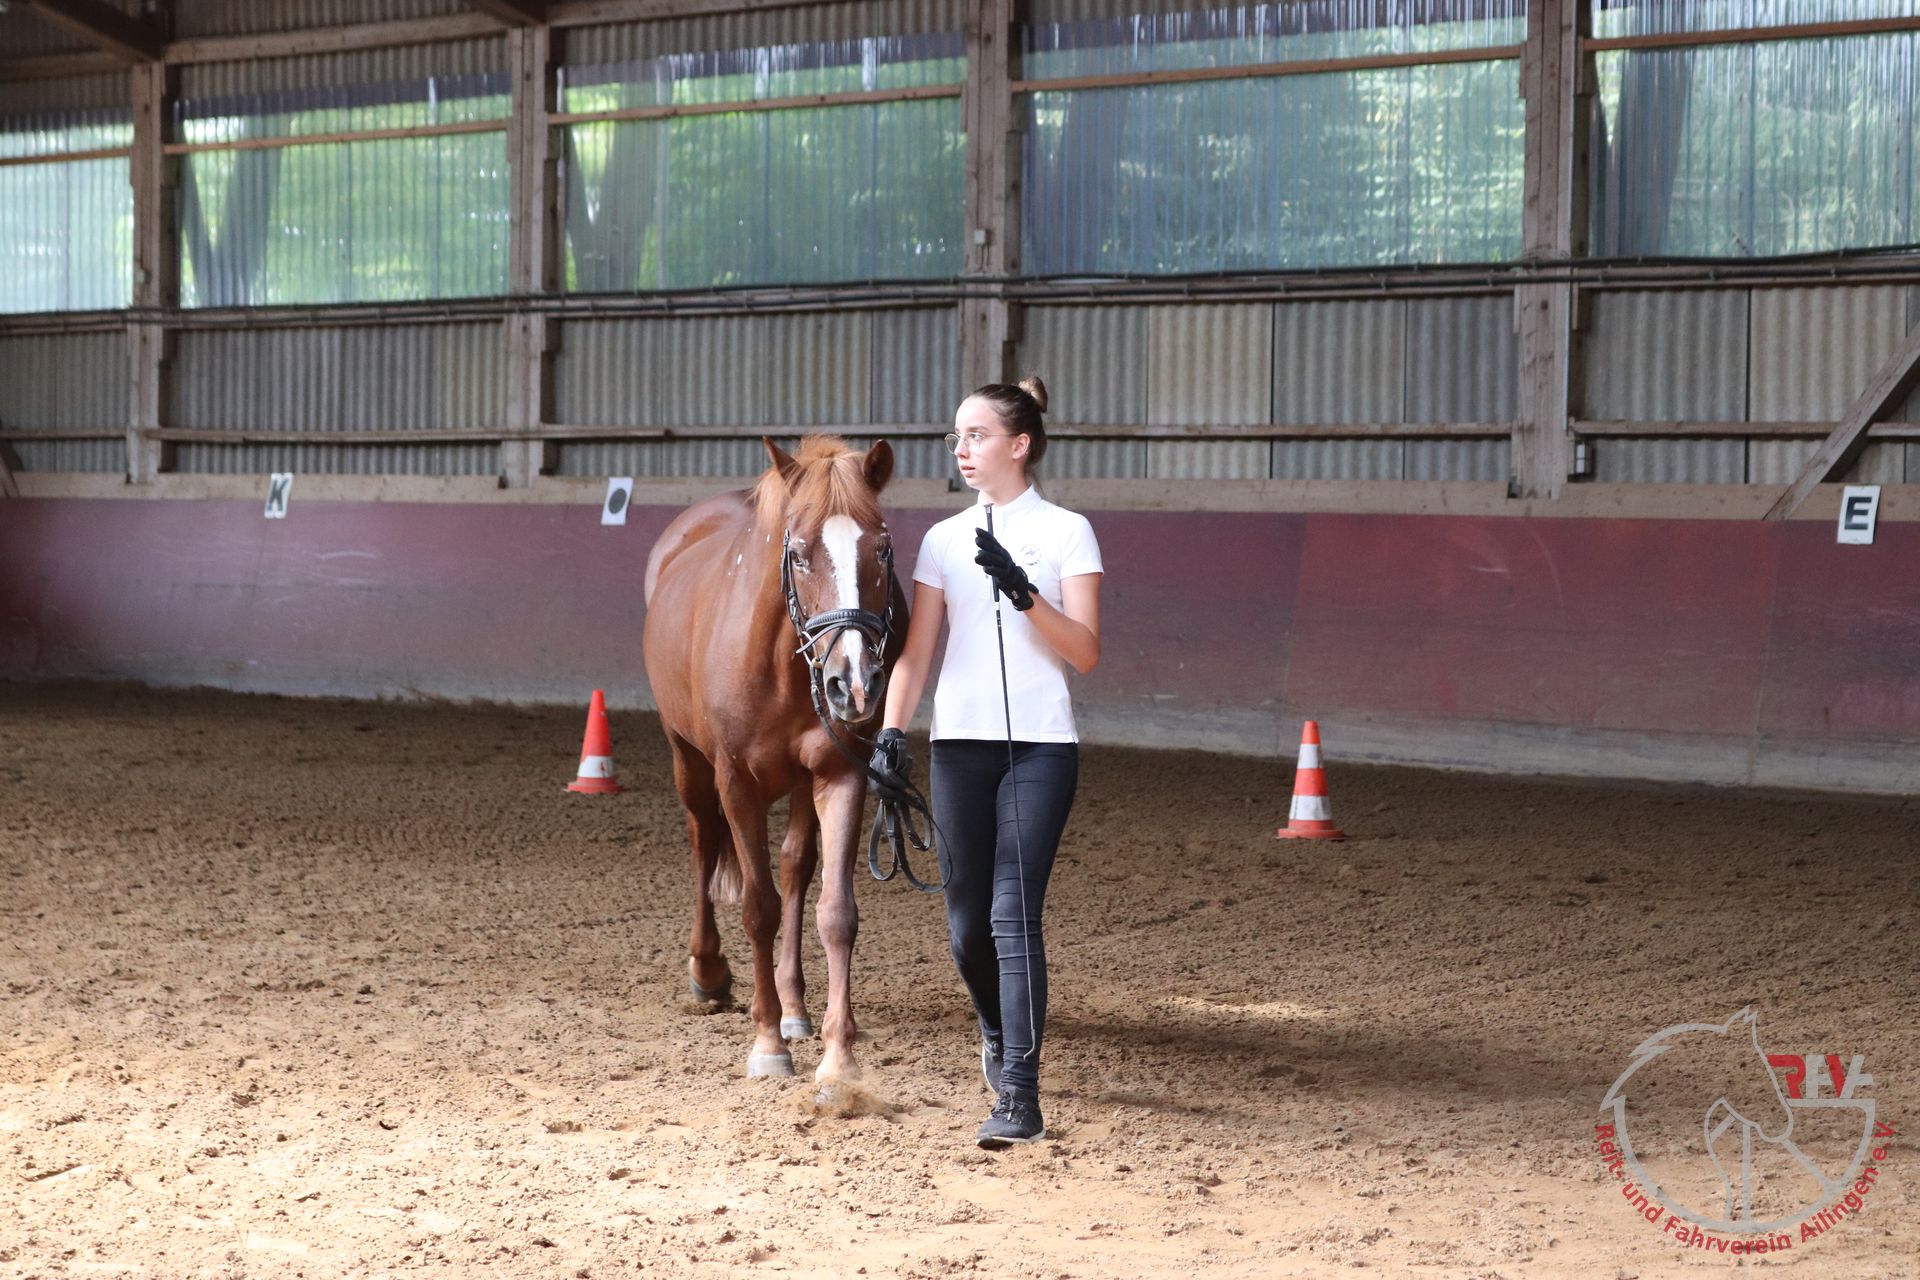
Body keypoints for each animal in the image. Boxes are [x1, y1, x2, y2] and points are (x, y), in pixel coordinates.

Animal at [642, 435, 905, 1082]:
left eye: (882, 548)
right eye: (801, 553)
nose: (853, 684)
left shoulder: (840, 773)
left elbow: (834, 911)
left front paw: (838, 1056)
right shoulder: (735, 781)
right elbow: (759, 906)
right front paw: (766, 1044)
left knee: (794, 866)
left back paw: (793, 1006)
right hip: (689, 761)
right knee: (704, 841)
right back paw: (709, 972)